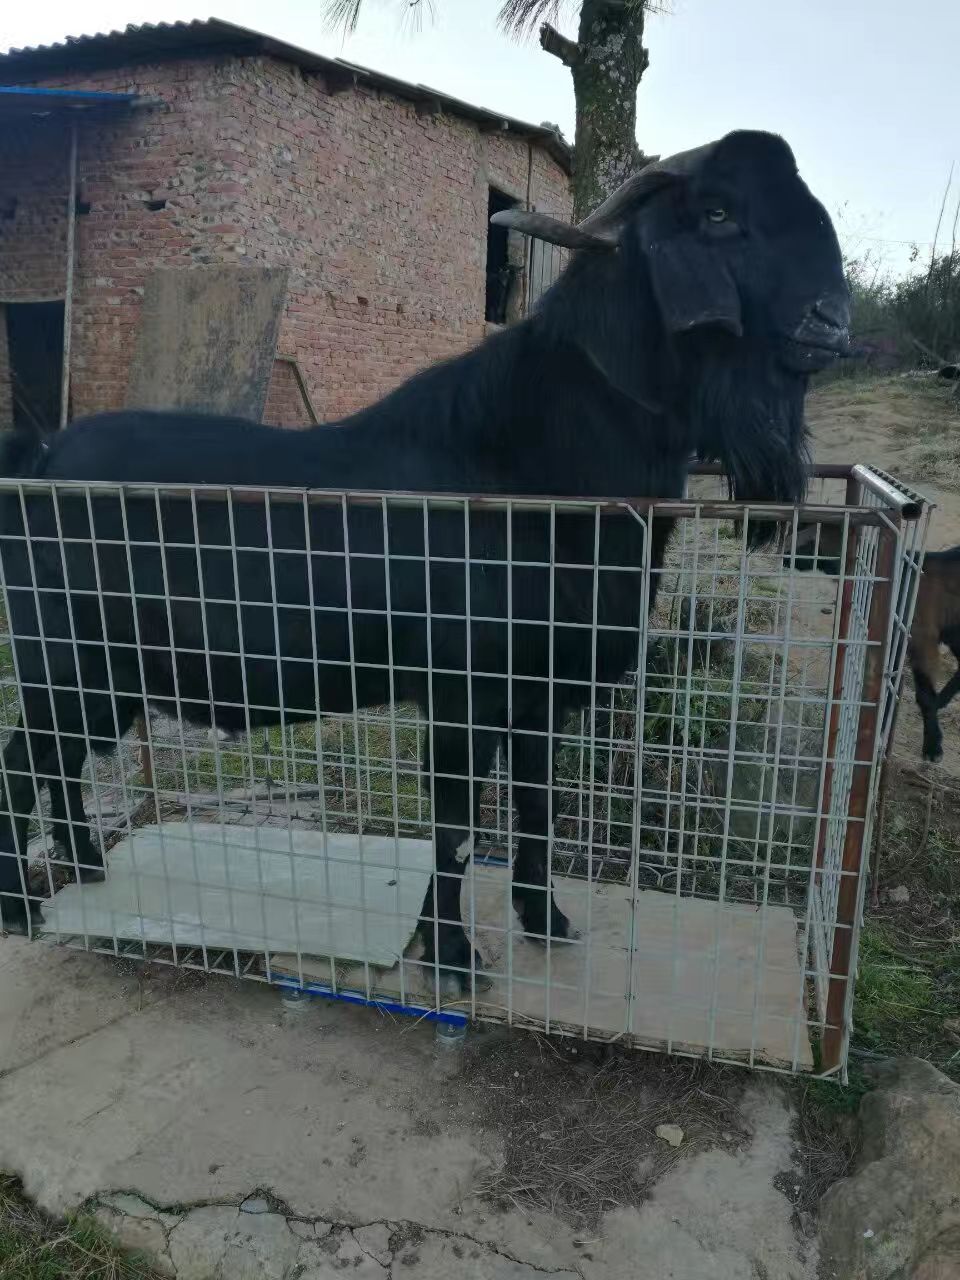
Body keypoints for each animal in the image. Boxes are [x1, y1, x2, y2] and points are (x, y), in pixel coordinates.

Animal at [0, 129, 849, 988]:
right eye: (717, 213)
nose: (832, 321)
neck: (528, 464)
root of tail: (41, 455)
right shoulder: (460, 693)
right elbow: (455, 827)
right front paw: (453, 958)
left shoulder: (538, 694)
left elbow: (537, 807)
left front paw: (546, 921)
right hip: (61, 658)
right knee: (22, 760)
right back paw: (20, 905)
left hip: (106, 675)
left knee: (57, 762)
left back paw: (89, 865)